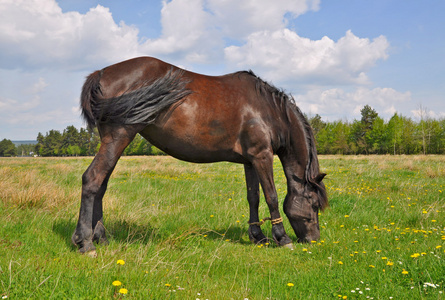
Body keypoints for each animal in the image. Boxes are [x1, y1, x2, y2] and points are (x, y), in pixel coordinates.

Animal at [72, 56, 326, 255]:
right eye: (314, 204)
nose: (314, 240)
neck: (268, 111)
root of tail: (101, 73)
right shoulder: (262, 157)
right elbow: (271, 196)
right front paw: (282, 238)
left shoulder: (250, 161)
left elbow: (253, 197)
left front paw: (258, 236)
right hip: (118, 138)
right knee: (92, 179)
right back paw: (86, 243)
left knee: (101, 186)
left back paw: (100, 238)